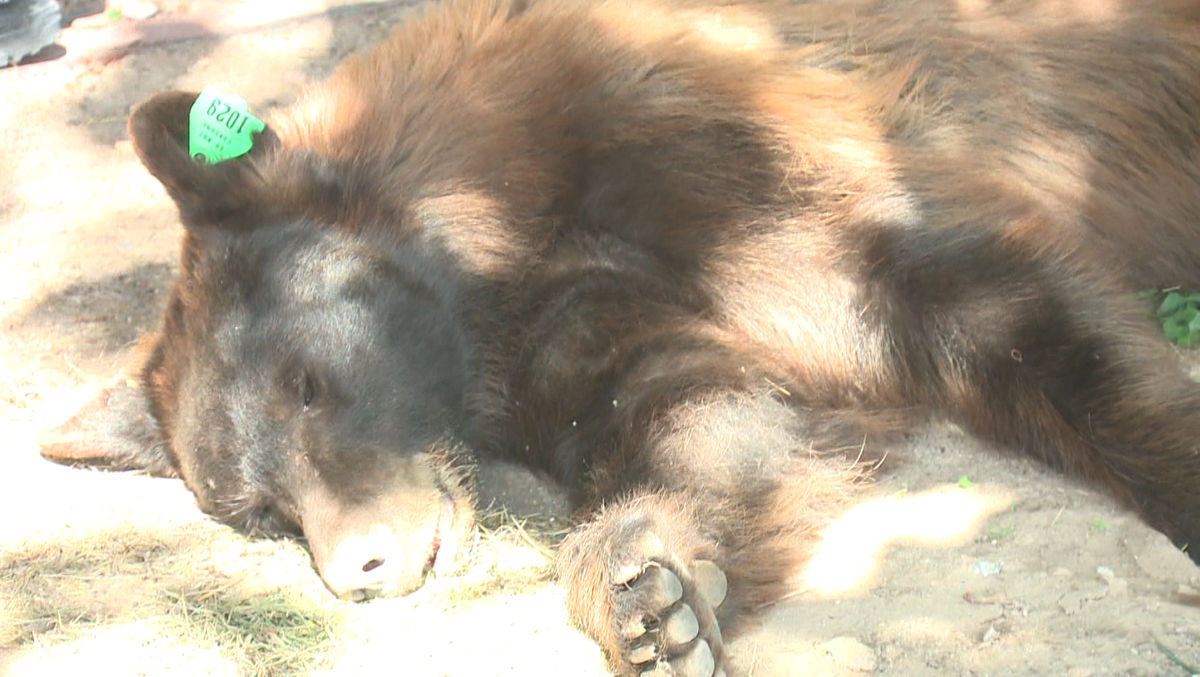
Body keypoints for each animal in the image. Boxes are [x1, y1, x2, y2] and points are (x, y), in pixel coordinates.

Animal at [36, 0, 1200, 675]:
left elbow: (999, 306)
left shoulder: (735, 169)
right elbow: (708, 419)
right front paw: (655, 586)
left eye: (311, 383)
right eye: (259, 512)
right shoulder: (587, 325)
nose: (361, 568)